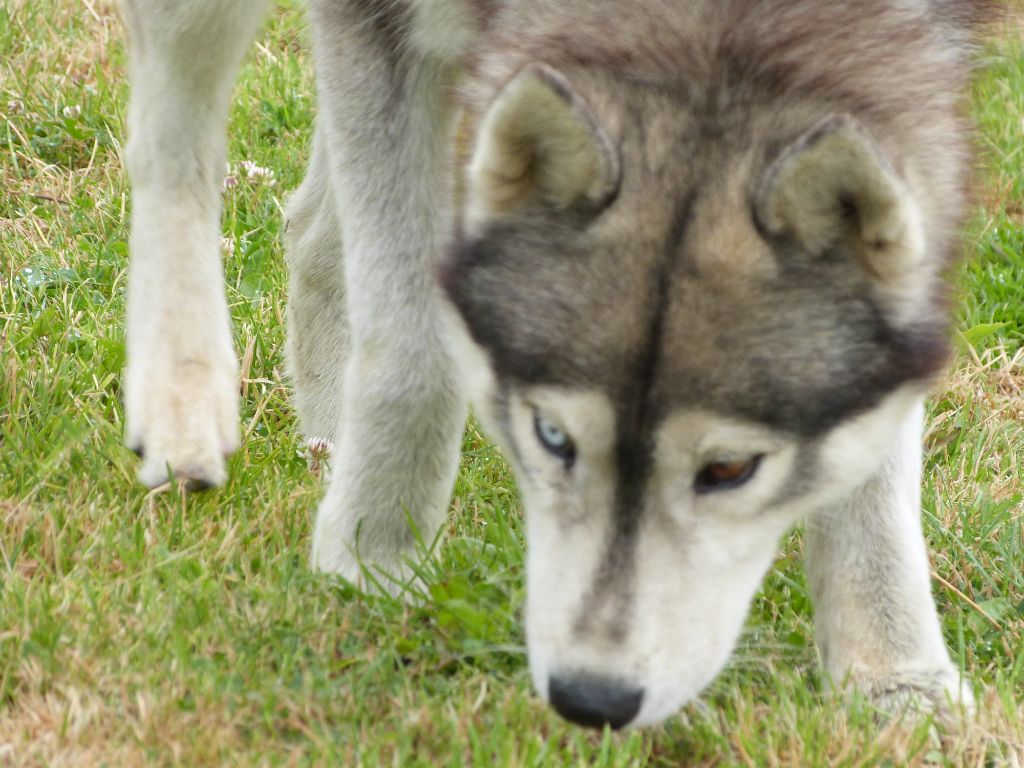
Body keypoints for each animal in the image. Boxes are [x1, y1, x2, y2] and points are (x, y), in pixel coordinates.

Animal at [117, 0, 983, 733]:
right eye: (552, 438)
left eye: (731, 470)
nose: (590, 700)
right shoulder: (379, 27)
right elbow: (412, 349)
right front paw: (370, 564)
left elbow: (876, 463)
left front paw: (892, 674)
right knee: (169, 146)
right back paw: (183, 413)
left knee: (308, 225)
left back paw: (325, 437)